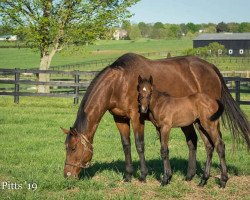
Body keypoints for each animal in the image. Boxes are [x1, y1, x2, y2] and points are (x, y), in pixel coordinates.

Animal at [62, 52, 250, 181]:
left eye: (73, 148)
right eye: (66, 147)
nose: (67, 174)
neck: (119, 83)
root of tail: (211, 67)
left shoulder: (136, 117)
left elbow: (139, 145)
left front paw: (143, 175)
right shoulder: (120, 119)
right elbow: (126, 145)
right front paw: (128, 176)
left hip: (208, 120)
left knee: (214, 143)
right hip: (189, 121)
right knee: (193, 142)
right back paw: (190, 175)